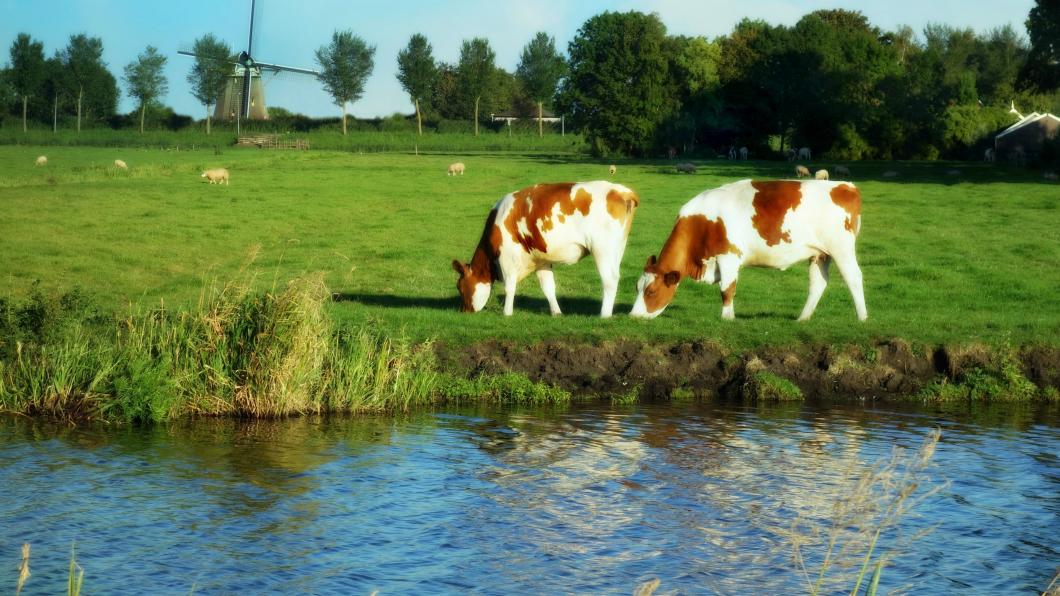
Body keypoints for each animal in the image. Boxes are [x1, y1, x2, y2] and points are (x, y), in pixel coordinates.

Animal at [453, 181, 635, 318]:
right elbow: (548, 288)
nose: (462, 311)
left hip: (602, 249)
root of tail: (622, 191)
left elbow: (509, 286)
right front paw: (556, 312)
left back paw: (604, 315)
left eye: (460, 287)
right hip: (617, 249)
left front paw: (507, 313)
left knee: (610, 280)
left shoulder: (507, 257)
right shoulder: (541, 260)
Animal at [631, 178, 864, 322]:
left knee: (854, 277)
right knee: (818, 284)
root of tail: (846, 186)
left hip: (841, 248)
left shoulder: (729, 256)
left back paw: (862, 317)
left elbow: (727, 289)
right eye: (637, 287)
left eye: (651, 291)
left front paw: (727, 318)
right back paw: (802, 318)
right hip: (819, 254)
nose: (633, 316)